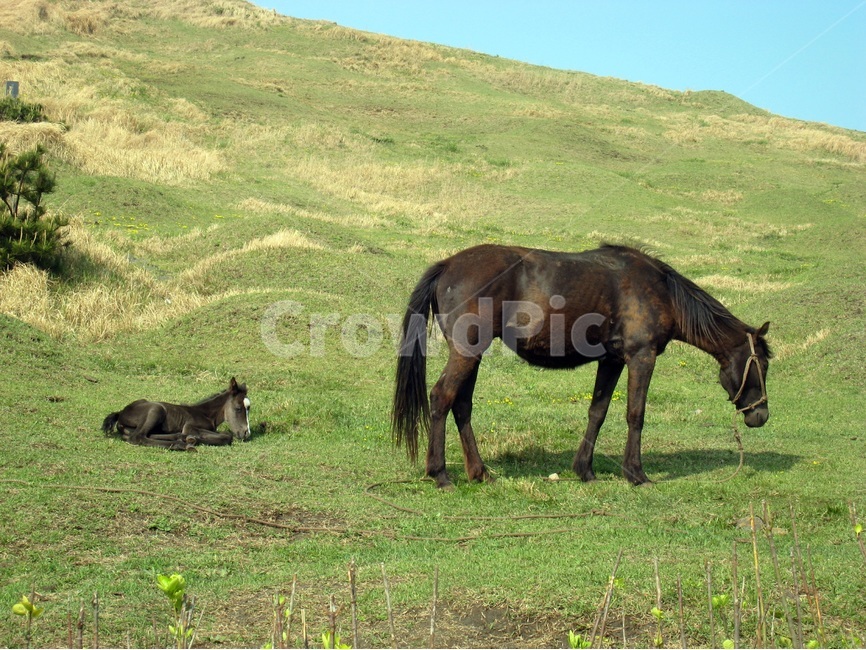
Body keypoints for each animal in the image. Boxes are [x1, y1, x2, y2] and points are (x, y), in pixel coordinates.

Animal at [102, 377, 251, 450]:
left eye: (249, 408)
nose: (246, 433)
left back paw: (182, 438)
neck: (206, 413)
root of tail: (121, 412)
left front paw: (191, 438)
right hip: (156, 409)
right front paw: (194, 439)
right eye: (238, 408)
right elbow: (227, 436)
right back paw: (182, 444)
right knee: (137, 437)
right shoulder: (190, 427)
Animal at [392, 244, 771, 489]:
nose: (761, 415)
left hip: (473, 355)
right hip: (466, 353)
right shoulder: (641, 357)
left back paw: (479, 472)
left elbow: (597, 412)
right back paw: (440, 475)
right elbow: (636, 414)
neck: (660, 290)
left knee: (462, 406)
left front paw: (584, 470)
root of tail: (448, 265)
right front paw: (636, 474)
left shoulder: (612, 361)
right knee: (441, 398)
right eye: (763, 365)